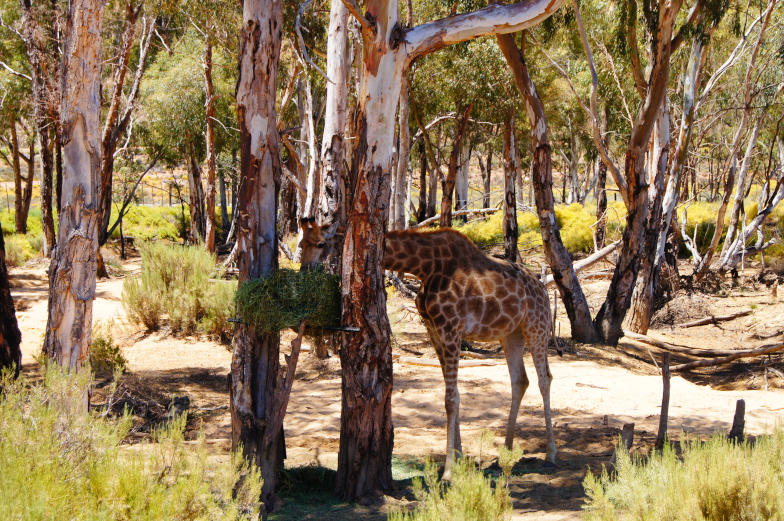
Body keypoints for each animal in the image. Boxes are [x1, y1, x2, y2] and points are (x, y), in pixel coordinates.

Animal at [298, 222, 556, 476]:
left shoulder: (451, 329)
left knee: (545, 378)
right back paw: (506, 452)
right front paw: (458, 460)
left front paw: (449, 472)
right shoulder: (434, 330)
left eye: (320, 243)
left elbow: (451, 398)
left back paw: (550, 454)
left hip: (537, 326)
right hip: (510, 334)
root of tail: (543, 288)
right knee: (520, 380)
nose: (305, 273)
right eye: (301, 244)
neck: (424, 267)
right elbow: (453, 395)